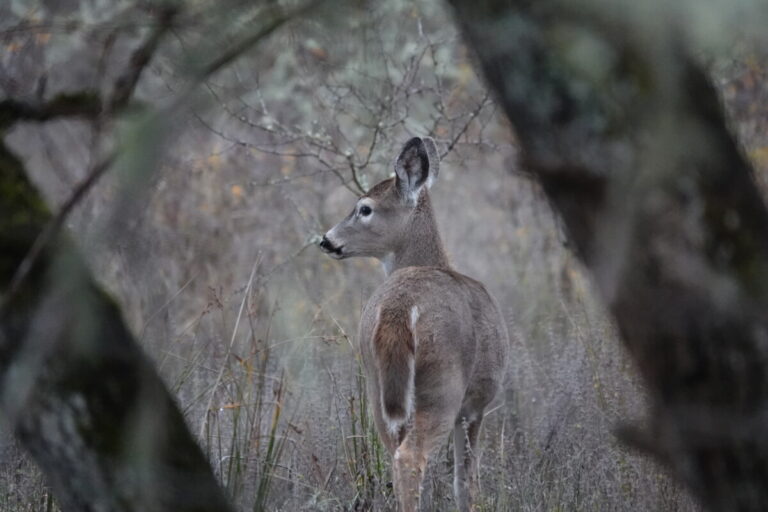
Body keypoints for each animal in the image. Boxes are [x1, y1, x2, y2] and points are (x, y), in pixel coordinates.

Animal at [318, 136, 510, 512]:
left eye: (365, 209)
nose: (327, 239)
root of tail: (399, 308)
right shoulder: (476, 405)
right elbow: (466, 483)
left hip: (376, 387)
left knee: (395, 457)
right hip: (442, 384)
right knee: (411, 458)